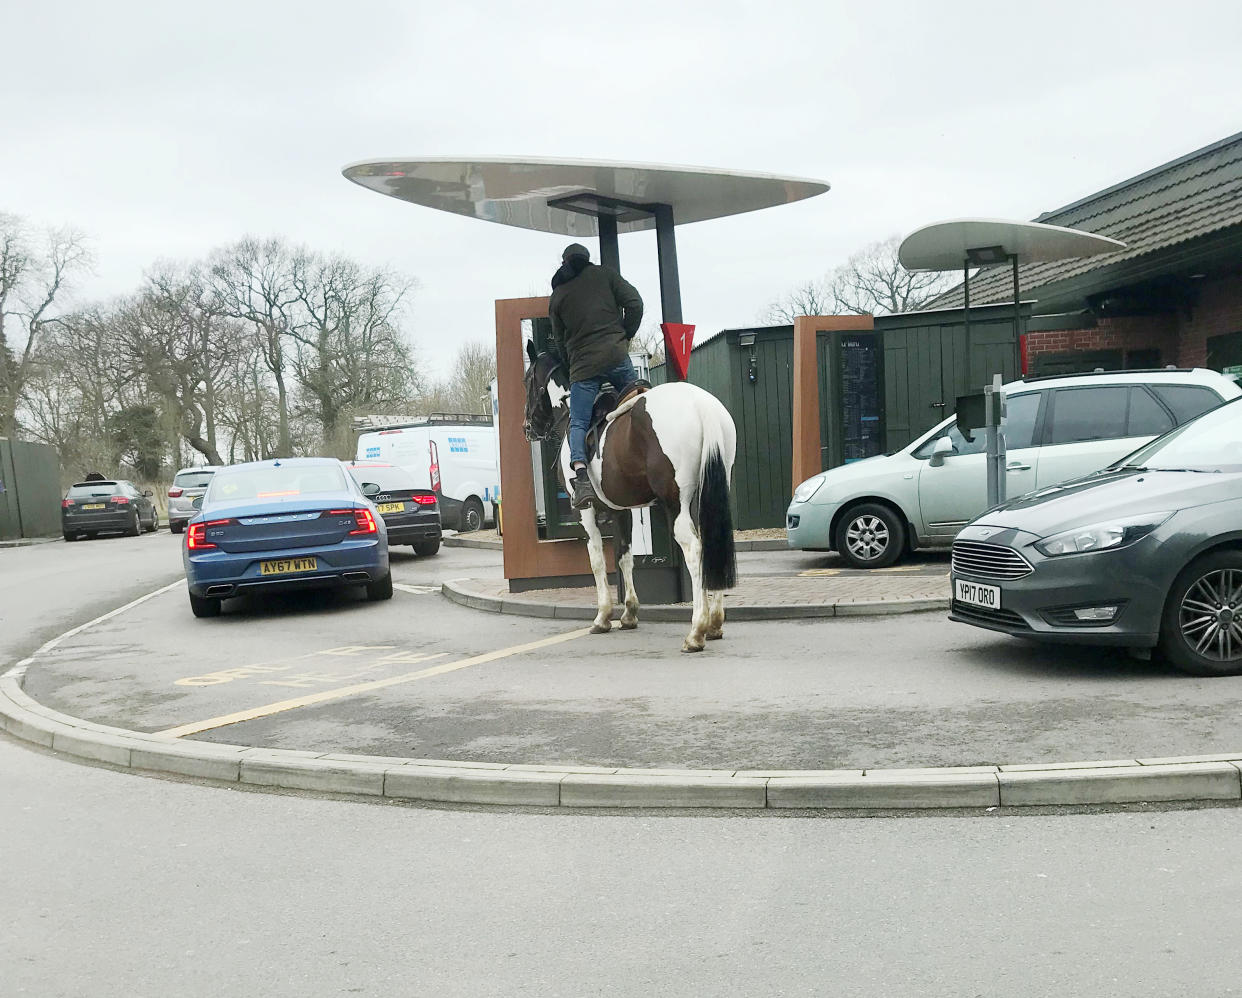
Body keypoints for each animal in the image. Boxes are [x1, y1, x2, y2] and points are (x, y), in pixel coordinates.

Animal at [521, 342, 735, 655]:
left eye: (527, 380)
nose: (528, 427)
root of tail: (699, 403)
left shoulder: (585, 513)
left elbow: (598, 559)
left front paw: (603, 616)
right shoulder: (621, 510)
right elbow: (624, 557)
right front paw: (630, 613)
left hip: (676, 503)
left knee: (694, 549)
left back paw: (697, 630)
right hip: (708, 494)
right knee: (712, 540)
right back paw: (716, 622)